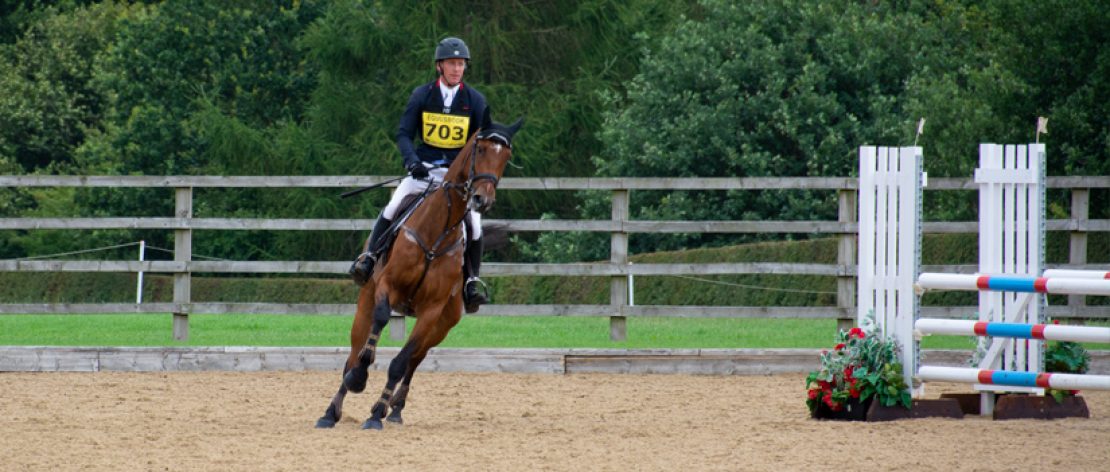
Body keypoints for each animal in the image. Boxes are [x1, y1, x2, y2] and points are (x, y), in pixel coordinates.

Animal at [313, 118, 519, 430]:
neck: (436, 232)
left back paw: (394, 409)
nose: (482, 199)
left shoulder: (432, 311)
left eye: (505, 157)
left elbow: (401, 362)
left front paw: (377, 413)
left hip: (443, 325)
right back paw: (331, 410)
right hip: (366, 301)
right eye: (481, 149)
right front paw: (359, 378)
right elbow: (377, 327)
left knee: (415, 358)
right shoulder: (387, 286)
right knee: (354, 350)